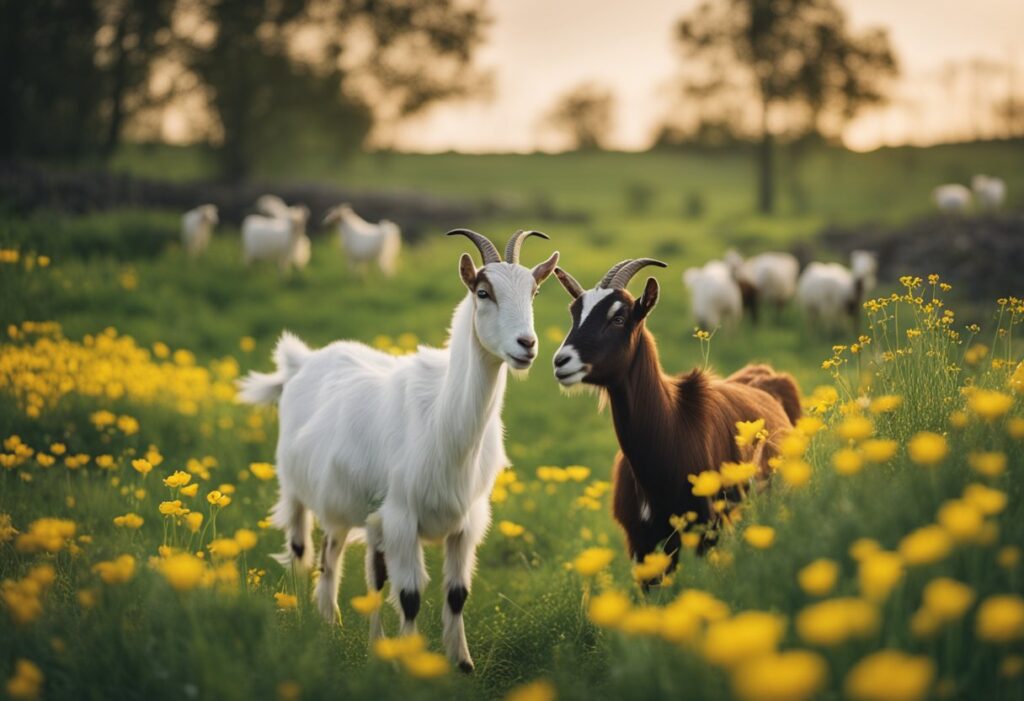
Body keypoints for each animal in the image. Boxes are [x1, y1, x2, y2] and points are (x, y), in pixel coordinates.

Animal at [237, 230, 559, 671]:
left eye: (535, 291)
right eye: (483, 292)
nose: (526, 345)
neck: (443, 423)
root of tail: (301, 362)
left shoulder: (467, 520)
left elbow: (456, 594)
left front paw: (461, 663)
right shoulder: (403, 516)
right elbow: (409, 596)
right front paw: (410, 664)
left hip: (351, 505)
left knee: (338, 558)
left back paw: (335, 627)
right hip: (295, 486)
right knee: (302, 550)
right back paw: (305, 619)